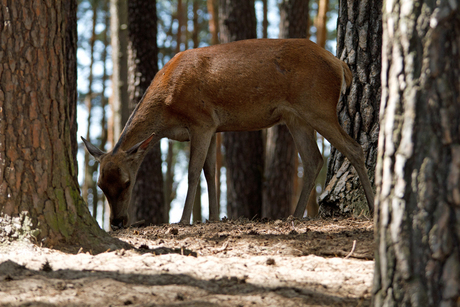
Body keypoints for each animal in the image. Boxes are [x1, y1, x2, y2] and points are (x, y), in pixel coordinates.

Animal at [82, 38, 376, 229]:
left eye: (127, 182)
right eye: (100, 185)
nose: (117, 222)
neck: (167, 111)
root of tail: (340, 65)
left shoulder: (201, 120)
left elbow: (192, 172)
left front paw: (184, 220)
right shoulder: (213, 127)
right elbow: (210, 172)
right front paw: (212, 217)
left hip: (318, 106)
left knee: (353, 147)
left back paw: (373, 207)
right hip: (295, 117)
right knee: (314, 158)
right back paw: (294, 215)